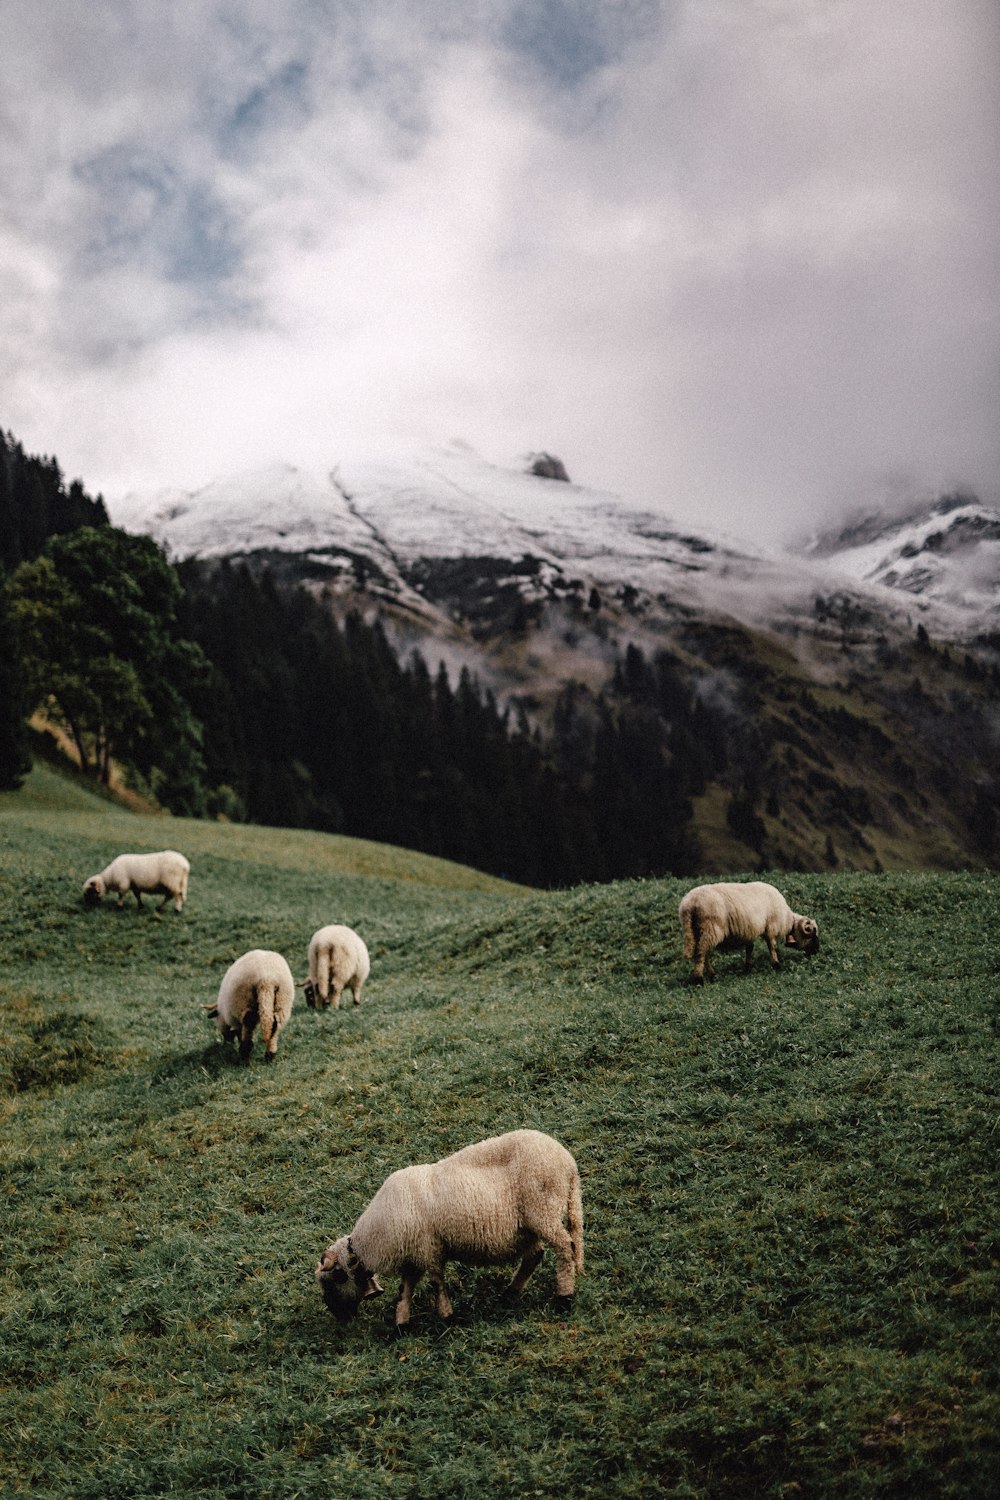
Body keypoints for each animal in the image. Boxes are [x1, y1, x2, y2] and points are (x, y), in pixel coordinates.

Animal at [316, 1128, 581, 1338]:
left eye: (333, 1280)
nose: (339, 1317)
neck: (374, 1239)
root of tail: (568, 1162)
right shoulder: (413, 1257)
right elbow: (405, 1290)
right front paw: (401, 1324)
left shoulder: (429, 1250)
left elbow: (436, 1283)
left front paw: (446, 1317)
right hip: (529, 1226)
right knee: (535, 1255)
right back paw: (510, 1293)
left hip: (543, 1211)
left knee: (565, 1247)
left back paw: (564, 1297)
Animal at [680, 876, 821, 984]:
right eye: (812, 935)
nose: (816, 951)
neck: (787, 918)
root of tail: (689, 905)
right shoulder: (771, 927)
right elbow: (772, 946)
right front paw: (776, 964)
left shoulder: (749, 931)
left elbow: (750, 948)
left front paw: (748, 967)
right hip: (710, 928)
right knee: (701, 952)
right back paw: (700, 979)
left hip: (697, 930)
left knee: (704, 953)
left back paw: (711, 974)